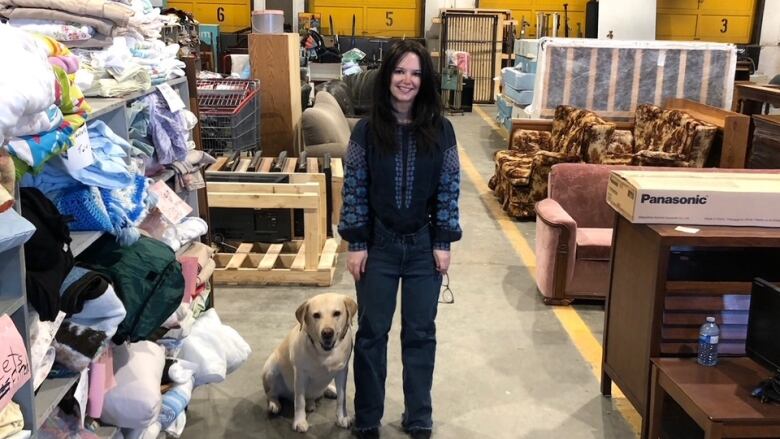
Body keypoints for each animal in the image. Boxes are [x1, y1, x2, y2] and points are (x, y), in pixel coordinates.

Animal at [262, 294, 360, 434]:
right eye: (316, 315)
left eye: (337, 313)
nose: (327, 333)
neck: (325, 353)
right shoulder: (300, 374)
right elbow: (299, 401)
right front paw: (299, 422)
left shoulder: (342, 371)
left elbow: (342, 398)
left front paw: (342, 418)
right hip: (271, 369)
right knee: (271, 393)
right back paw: (274, 404)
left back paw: (328, 391)